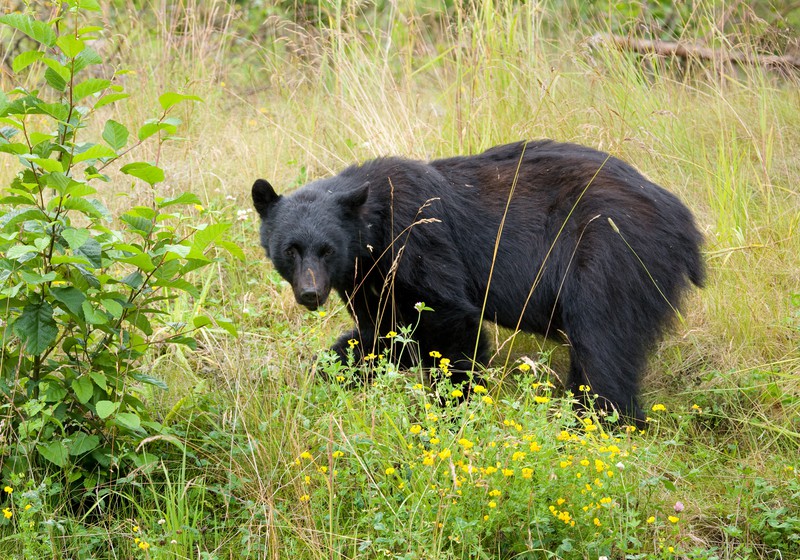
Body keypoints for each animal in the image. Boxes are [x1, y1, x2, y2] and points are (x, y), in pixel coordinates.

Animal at [253, 139, 704, 420]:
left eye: (327, 249)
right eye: (290, 249)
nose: (311, 294)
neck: (372, 228)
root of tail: (685, 224)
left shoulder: (418, 237)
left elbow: (451, 322)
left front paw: (453, 410)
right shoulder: (370, 279)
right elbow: (385, 333)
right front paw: (329, 372)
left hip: (610, 254)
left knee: (602, 345)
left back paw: (594, 423)